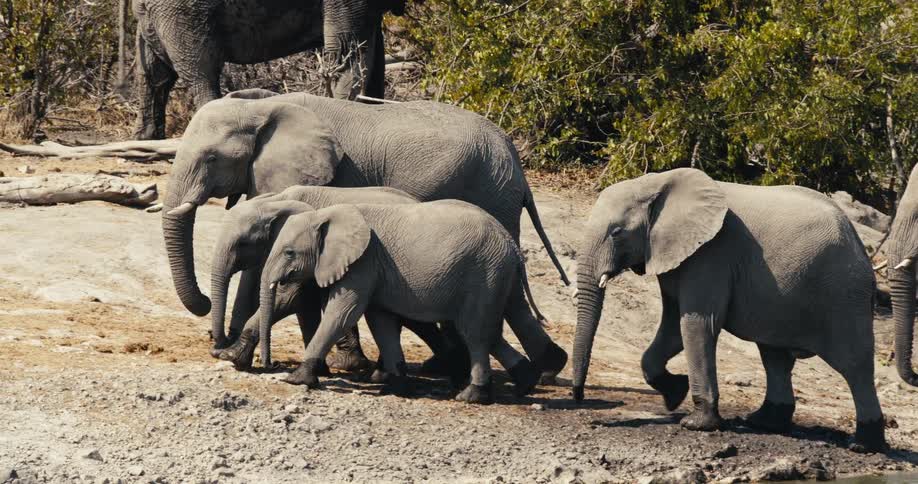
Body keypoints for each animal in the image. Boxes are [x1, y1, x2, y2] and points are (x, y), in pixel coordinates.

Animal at [210, 185, 468, 376]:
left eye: (243, 244)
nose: (271, 363)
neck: (275, 201)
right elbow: (300, 304)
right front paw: (232, 357)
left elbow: (294, 297)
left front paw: (231, 357)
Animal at [257, 200, 550, 403]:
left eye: (289, 253)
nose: (270, 365)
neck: (326, 214)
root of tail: (511, 243)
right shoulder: (376, 268)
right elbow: (380, 321)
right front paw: (396, 387)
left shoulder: (363, 262)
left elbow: (343, 313)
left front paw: (296, 379)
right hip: (499, 275)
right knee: (491, 329)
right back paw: (526, 382)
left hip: (485, 273)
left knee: (475, 332)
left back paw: (471, 396)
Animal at [571, 168, 885, 452]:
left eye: (616, 232)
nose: (578, 397)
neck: (657, 181)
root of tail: (860, 245)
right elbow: (673, 325)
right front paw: (675, 394)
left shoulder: (712, 253)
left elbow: (697, 324)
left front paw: (695, 424)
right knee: (775, 357)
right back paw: (761, 422)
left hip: (843, 294)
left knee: (854, 365)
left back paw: (863, 445)